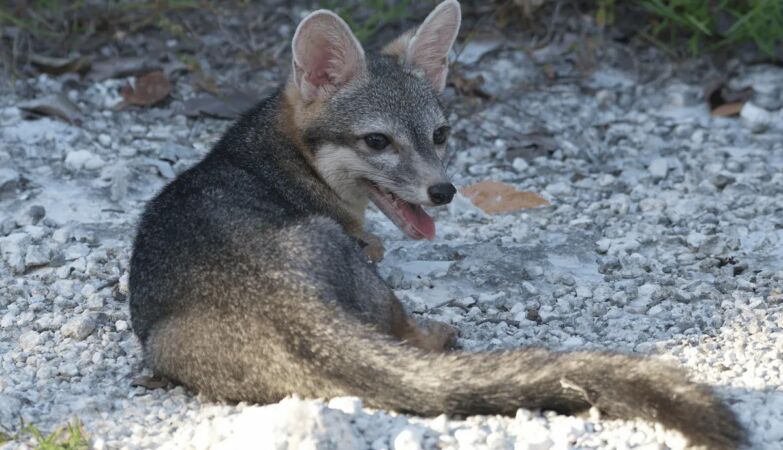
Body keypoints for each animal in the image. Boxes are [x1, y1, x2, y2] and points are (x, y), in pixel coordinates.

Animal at [128, 1, 744, 448]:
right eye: (378, 141)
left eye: (441, 135)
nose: (442, 192)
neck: (275, 156)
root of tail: (287, 304)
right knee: (404, 329)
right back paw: (438, 335)